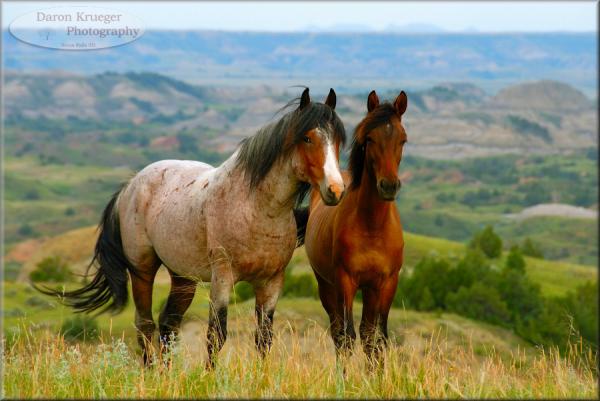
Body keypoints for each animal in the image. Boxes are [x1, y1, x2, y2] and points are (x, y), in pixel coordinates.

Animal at [38, 87, 346, 366]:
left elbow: (264, 338)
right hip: (142, 270)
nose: (335, 189)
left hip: (183, 277)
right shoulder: (223, 278)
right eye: (307, 138)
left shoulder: (271, 281)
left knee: (168, 324)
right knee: (145, 324)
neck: (257, 207)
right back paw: (153, 376)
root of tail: (131, 184)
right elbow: (216, 335)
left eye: (338, 141)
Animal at [296, 89, 406, 368]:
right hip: (327, 286)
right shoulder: (345, 281)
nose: (388, 186)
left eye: (403, 139)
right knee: (338, 333)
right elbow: (347, 336)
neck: (372, 227)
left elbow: (376, 338)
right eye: (370, 138)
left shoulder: (386, 284)